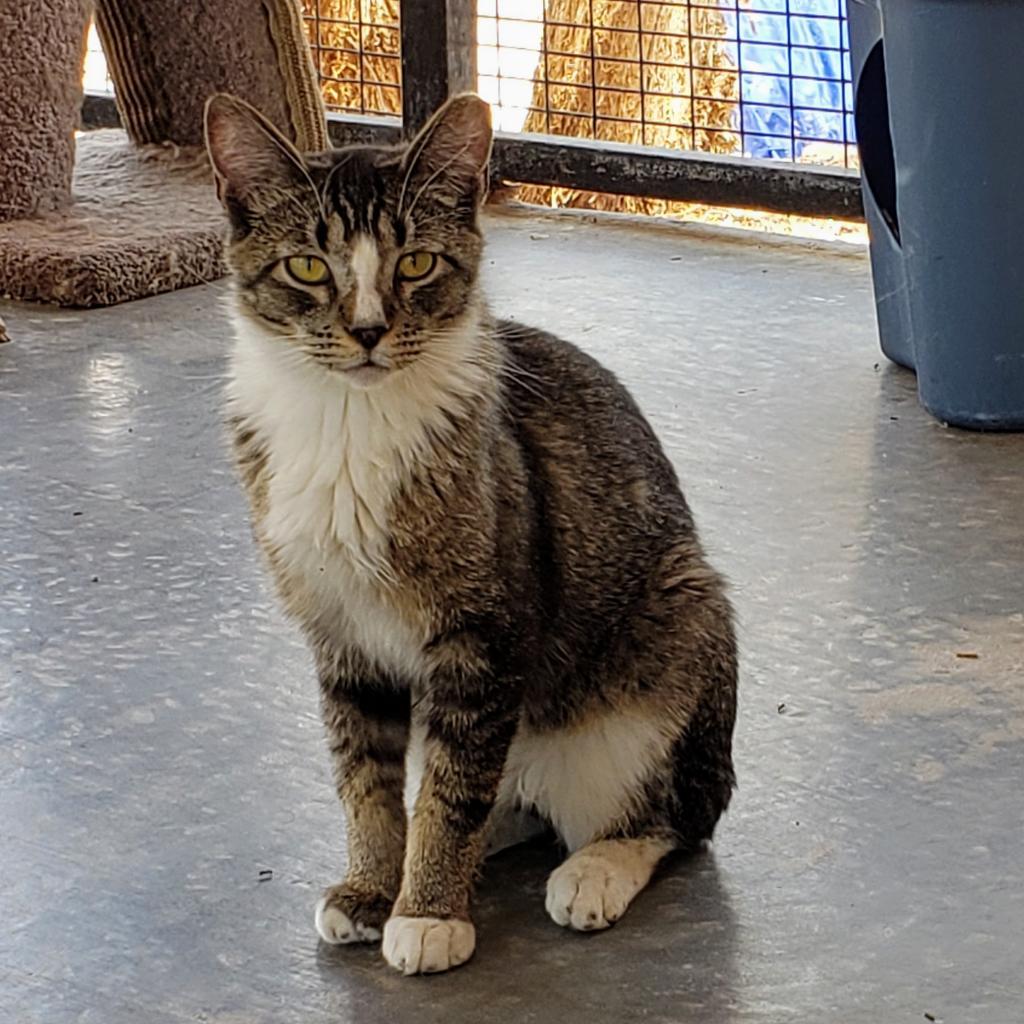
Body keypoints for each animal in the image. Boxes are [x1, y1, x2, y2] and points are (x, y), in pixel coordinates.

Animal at [203, 90, 741, 974]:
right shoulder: (340, 637)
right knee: (498, 796)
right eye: (307, 267)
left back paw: (591, 868)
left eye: (416, 264)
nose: (368, 330)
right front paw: (372, 884)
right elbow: (365, 776)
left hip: (679, 622)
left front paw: (426, 912)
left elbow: (453, 789)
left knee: (675, 815)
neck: (348, 423)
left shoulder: (482, 636)